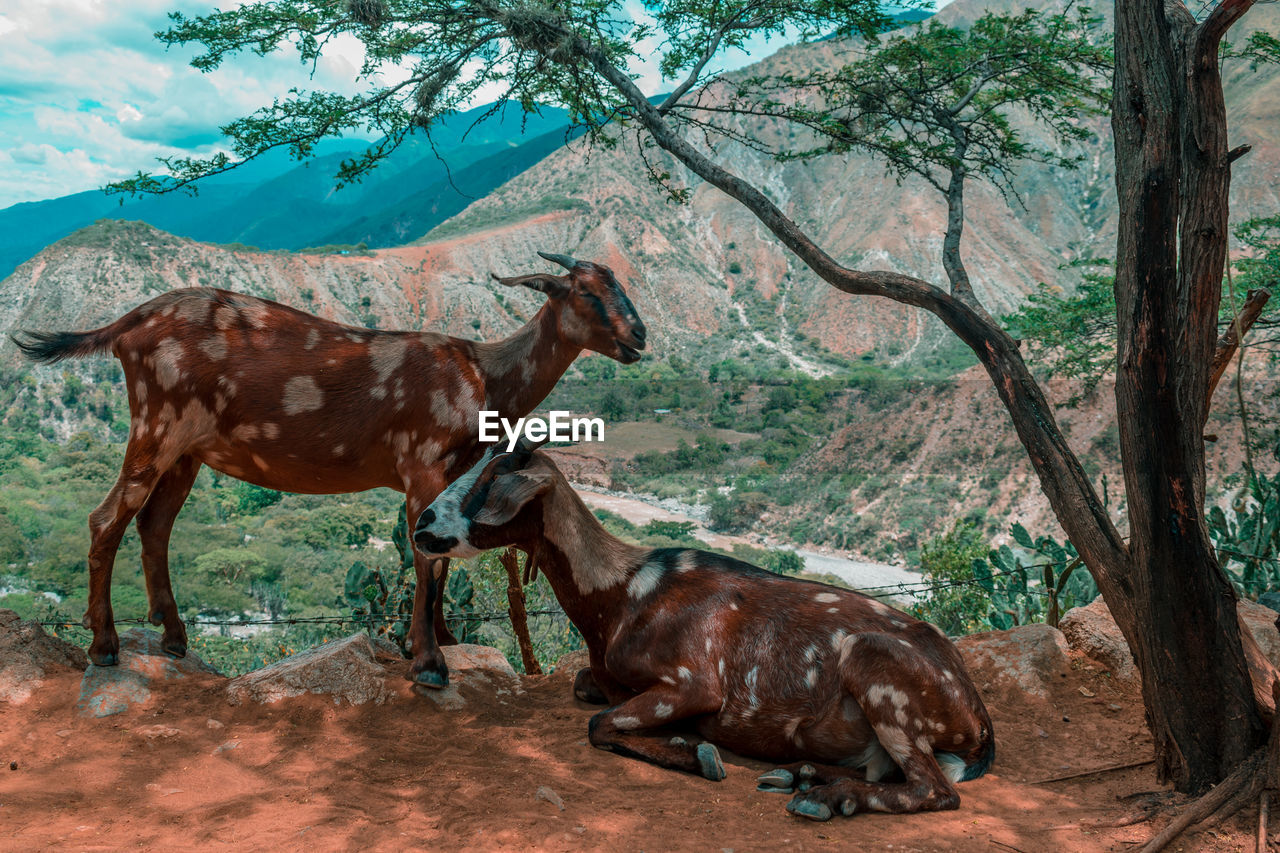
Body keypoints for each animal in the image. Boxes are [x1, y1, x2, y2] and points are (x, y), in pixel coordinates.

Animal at [414, 438, 993, 819]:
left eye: (488, 482)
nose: (422, 526)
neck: (625, 593)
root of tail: (977, 719)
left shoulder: (694, 684)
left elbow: (600, 724)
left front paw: (698, 752)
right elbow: (584, 689)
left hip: (875, 664)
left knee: (935, 791)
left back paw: (825, 796)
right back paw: (803, 772)